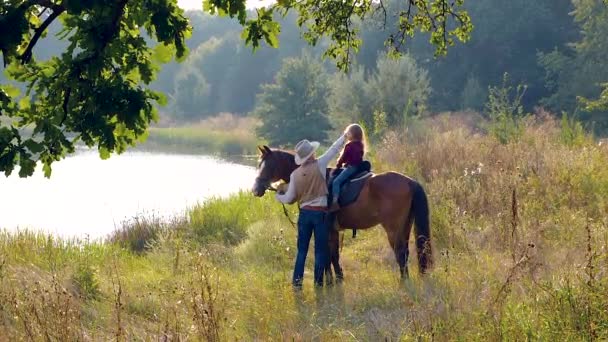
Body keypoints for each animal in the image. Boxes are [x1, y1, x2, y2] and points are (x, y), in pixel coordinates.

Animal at [252, 146, 432, 280]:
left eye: (268, 165)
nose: (255, 189)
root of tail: (409, 181)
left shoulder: (325, 229)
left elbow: (327, 256)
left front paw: (330, 281)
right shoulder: (332, 230)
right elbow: (333, 256)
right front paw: (338, 279)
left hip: (393, 229)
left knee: (400, 253)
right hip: (405, 226)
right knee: (407, 252)